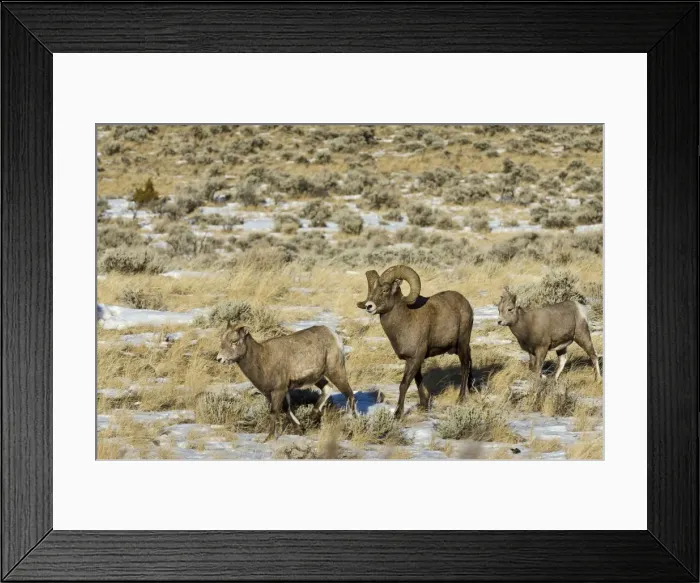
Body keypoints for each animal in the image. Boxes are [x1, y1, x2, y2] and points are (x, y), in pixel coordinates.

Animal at [216, 323, 355, 441]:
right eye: (222, 341)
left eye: (234, 341)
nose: (219, 359)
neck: (262, 360)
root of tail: (333, 335)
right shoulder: (275, 392)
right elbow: (286, 409)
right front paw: (300, 428)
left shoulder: (278, 390)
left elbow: (274, 412)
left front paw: (269, 438)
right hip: (319, 377)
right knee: (328, 388)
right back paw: (313, 414)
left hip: (335, 371)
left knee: (349, 393)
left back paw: (349, 419)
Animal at [357, 265, 475, 419]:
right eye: (372, 290)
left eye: (385, 290)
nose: (369, 306)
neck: (405, 321)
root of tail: (466, 304)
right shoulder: (414, 360)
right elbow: (418, 380)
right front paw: (424, 406)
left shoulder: (415, 358)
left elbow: (404, 384)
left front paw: (398, 414)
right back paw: (471, 389)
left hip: (462, 344)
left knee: (465, 366)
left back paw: (460, 398)